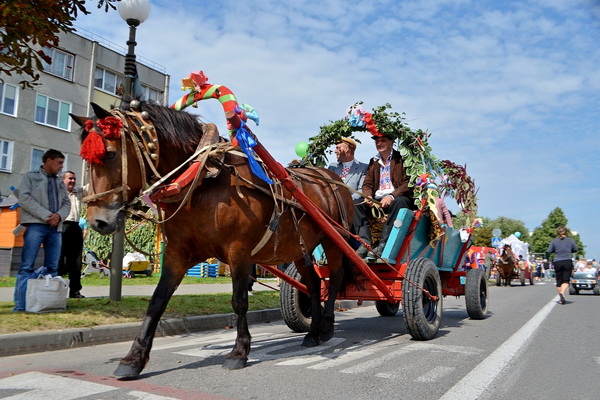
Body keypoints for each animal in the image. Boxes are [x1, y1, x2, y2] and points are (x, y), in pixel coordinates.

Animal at [74, 101, 356, 378]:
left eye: (110, 154)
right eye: (86, 158)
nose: (97, 221)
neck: (202, 180)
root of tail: (331, 179)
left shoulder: (238, 251)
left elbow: (239, 301)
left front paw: (239, 351)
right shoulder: (177, 254)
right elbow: (156, 302)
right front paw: (133, 358)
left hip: (334, 239)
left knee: (335, 278)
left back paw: (327, 326)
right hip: (299, 248)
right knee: (314, 283)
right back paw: (312, 333)